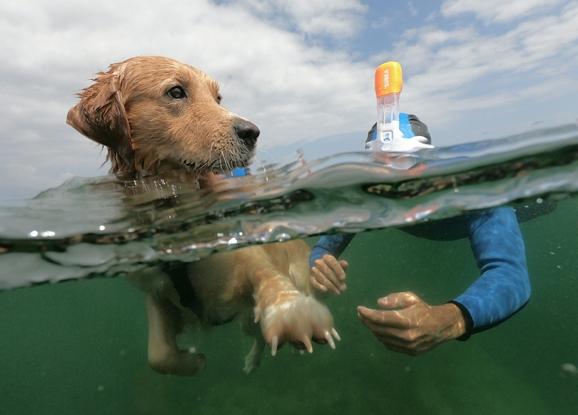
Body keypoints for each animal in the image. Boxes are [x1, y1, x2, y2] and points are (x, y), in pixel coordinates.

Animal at [67, 56, 338, 376]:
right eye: (176, 92)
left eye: (218, 97)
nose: (252, 132)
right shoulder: (157, 292)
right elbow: (158, 355)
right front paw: (195, 361)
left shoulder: (243, 250)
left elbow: (267, 274)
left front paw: (294, 313)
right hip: (246, 322)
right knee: (256, 336)